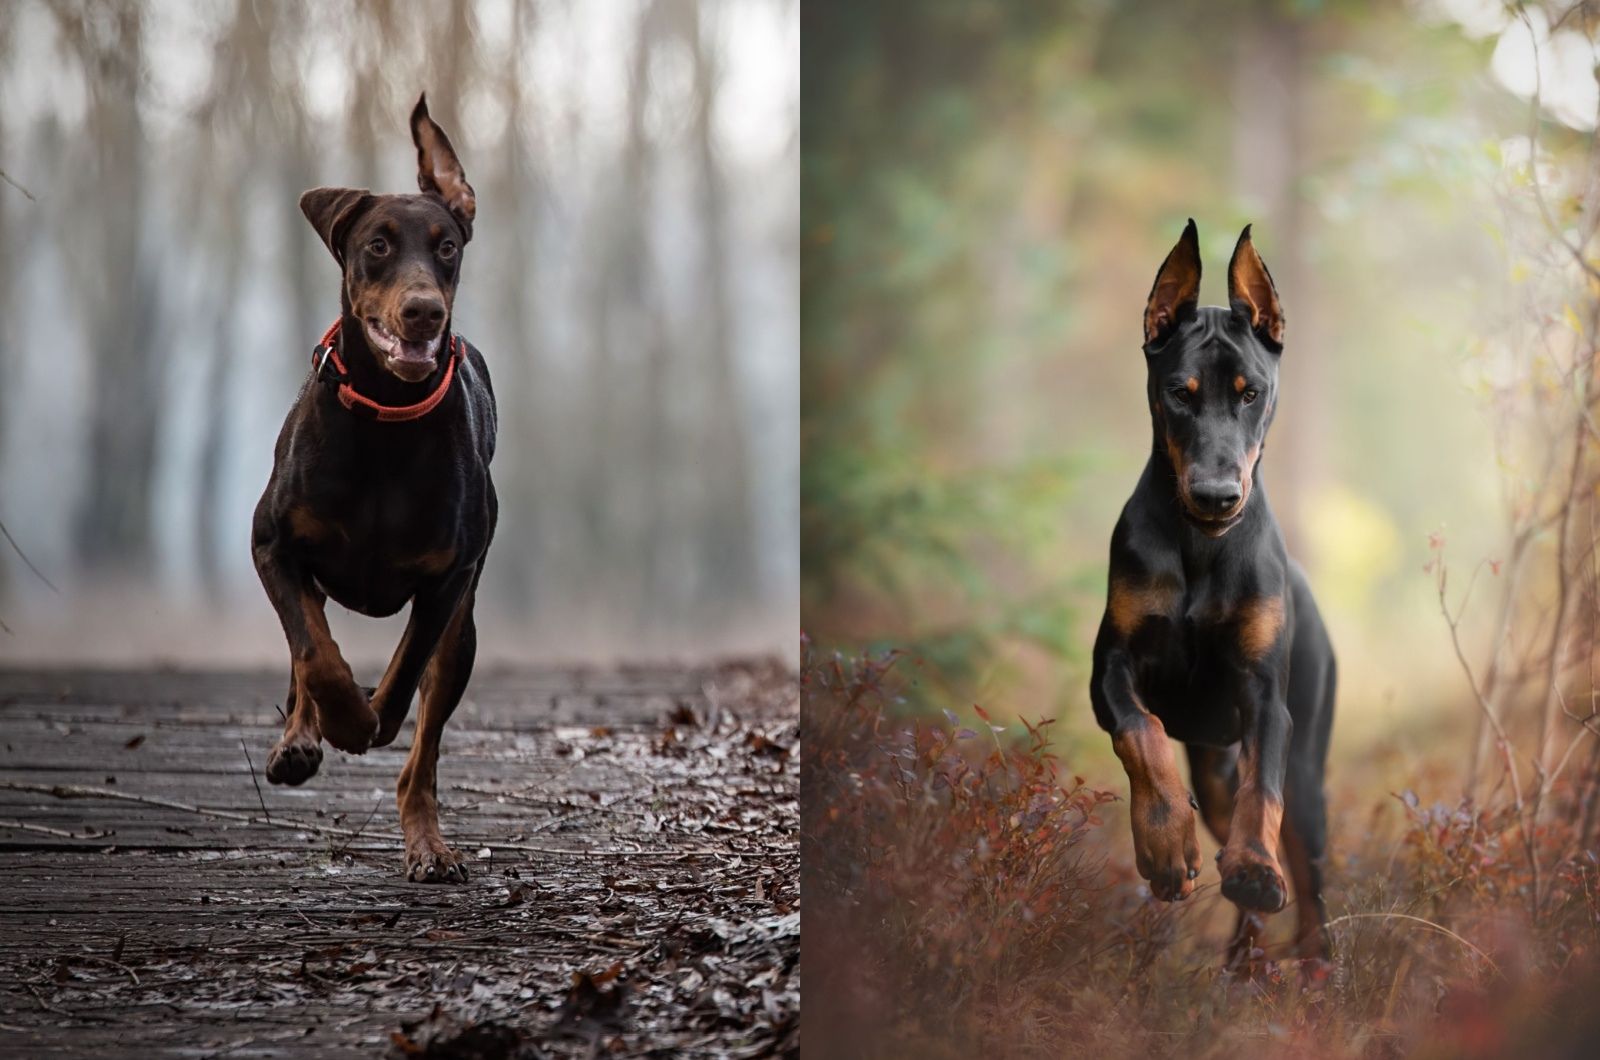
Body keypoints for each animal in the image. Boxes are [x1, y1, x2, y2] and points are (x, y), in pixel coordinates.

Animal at [251, 95, 492, 883]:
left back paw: (428, 844)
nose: (423, 311)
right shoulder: (273, 544)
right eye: (378, 245)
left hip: (464, 634)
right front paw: (338, 720)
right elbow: (315, 655)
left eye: (446, 247)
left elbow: (404, 673)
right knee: (307, 645)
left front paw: (368, 718)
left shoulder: (448, 581)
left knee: (422, 751)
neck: (388, 418)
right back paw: (300, 740)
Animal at [1088, 222, 1337, 973]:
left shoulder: (1265, 697)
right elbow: (1141, 734)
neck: (1200, 547)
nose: (1216, 496)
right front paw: (1166, 847)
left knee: (1309, 869)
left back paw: (1311, 960)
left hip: (1309, 767)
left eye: (1251, 394)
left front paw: (1255, 868)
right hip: (1213, 764)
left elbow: (1266, 795)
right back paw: (1243, 959)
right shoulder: (1110, 669)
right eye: (1179, 392)